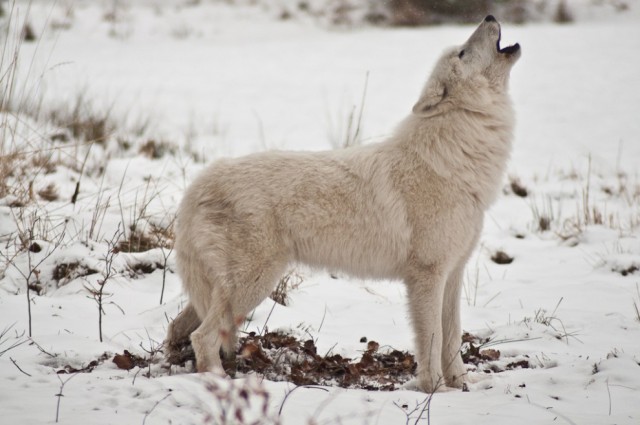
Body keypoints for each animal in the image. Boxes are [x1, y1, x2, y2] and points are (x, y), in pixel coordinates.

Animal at [166, 14, 520, 390]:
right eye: (463, 52)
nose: (490, 16)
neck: (453, 157)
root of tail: (201, 181)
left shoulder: (452, 274)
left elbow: (452, 339)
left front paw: (462, 385)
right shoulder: (427, 276)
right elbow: (432, 341)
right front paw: (434, 389)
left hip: (226, 289)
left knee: (178, 327)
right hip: (252, 285)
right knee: (203, 337)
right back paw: (219, 382)